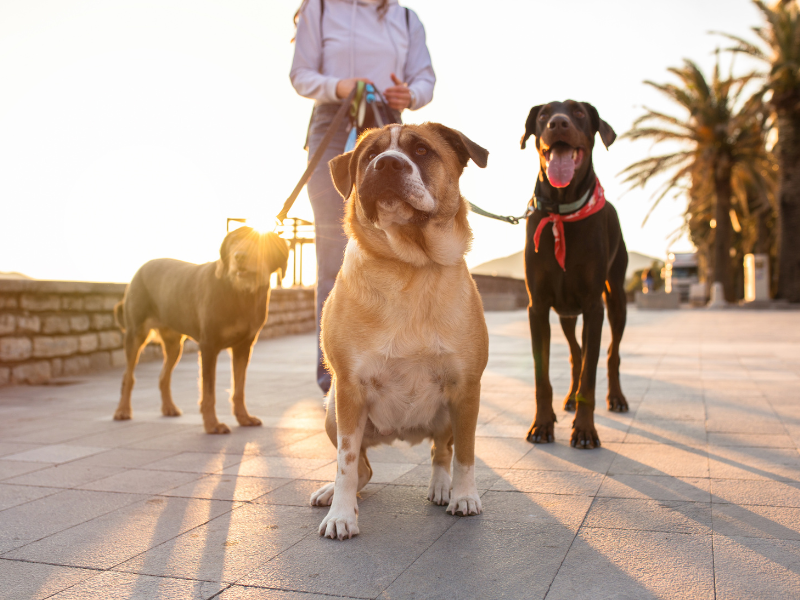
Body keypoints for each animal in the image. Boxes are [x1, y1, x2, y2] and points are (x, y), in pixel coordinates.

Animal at [111, 227, 288, 434]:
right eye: (235, 241)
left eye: (261, 243)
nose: (240, 256)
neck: (239, 293)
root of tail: (141, 269)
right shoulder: (209, 346)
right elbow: (209, 391)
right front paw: (212, 424)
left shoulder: (244, 347)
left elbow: (239, 387)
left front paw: (244, 417)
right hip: (136, 334)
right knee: (128, 376)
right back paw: (122, 410)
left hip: (174, 345)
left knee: (164, 376)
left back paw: (169, 407)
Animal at [310, 122, 488, 540]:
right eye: (370, 155)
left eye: (421, 150)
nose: (388, 164)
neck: (409, 265)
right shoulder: (349, 390)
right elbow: (345, 463)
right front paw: (342, 515)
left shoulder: (466, 388)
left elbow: (466, 453)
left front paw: (464, 496)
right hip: (332, 411)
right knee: (362, 469)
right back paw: (332, 493)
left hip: (446, 412)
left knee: (441, 451)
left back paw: (442, 486)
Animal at [520, 102, 628, 450]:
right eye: (542, 115)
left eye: (579, 112)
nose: (558, 123)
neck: (562, 213)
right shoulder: (538, 307)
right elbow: (542, 376)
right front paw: (542, 424)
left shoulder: (594, 307)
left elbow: (590, 378)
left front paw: (584, 430)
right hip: (566, 313)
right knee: (575, 354)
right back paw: (567, 399)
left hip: (616, 298)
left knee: (611, 354)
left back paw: (617, 397)